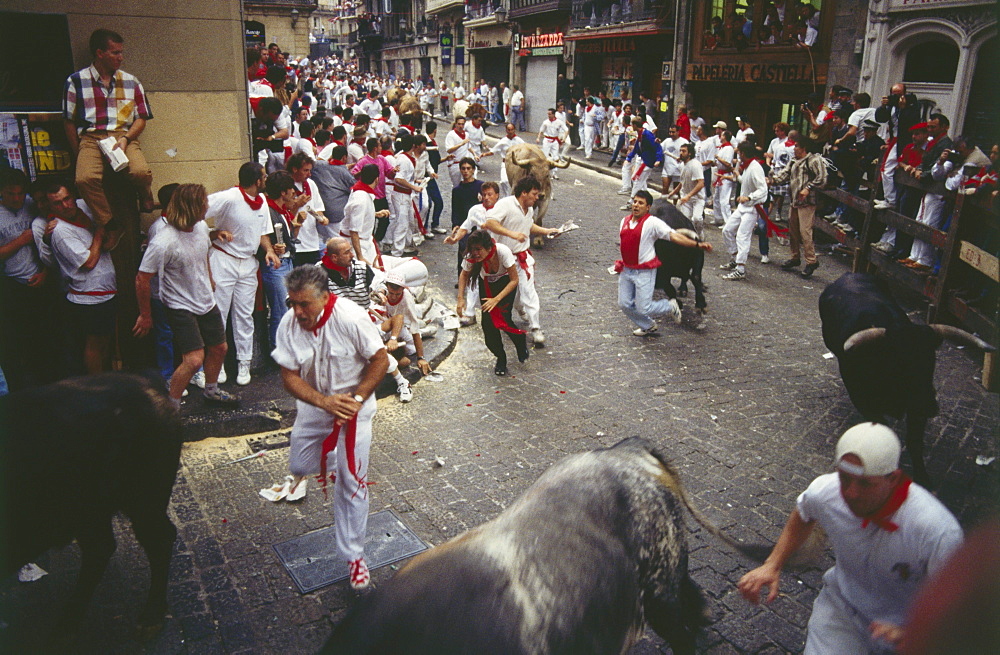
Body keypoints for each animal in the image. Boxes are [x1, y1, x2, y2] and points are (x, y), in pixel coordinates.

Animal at [0, 374, 184, 640]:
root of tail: (151, 387)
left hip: (142, 499)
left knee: (156, 539)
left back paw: (148, 617)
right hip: (92, 513)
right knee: (102, 548)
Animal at [820, 272, 992, 486]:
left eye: (931, 361)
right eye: (899, 361)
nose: (930, 405)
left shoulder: (917, 410)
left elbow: (914, 442)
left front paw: (922, 478)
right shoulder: (863, 400)